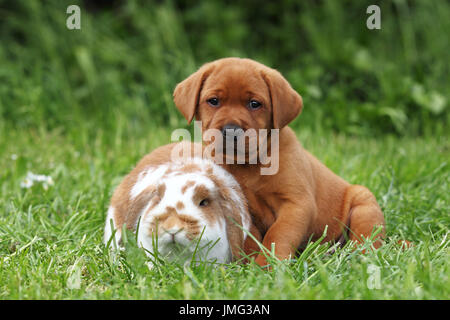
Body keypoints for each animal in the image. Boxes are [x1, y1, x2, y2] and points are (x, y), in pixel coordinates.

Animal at [174, 57, 384, 264]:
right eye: (213, 101)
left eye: (254, 103)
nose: (231, 130)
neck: (248, 164)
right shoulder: (240, 207)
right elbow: (250, 238)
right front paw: (250, 263)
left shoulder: (297, 203)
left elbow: (278, 234)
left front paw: (267, 264)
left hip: (364, 207)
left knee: (366, 240)